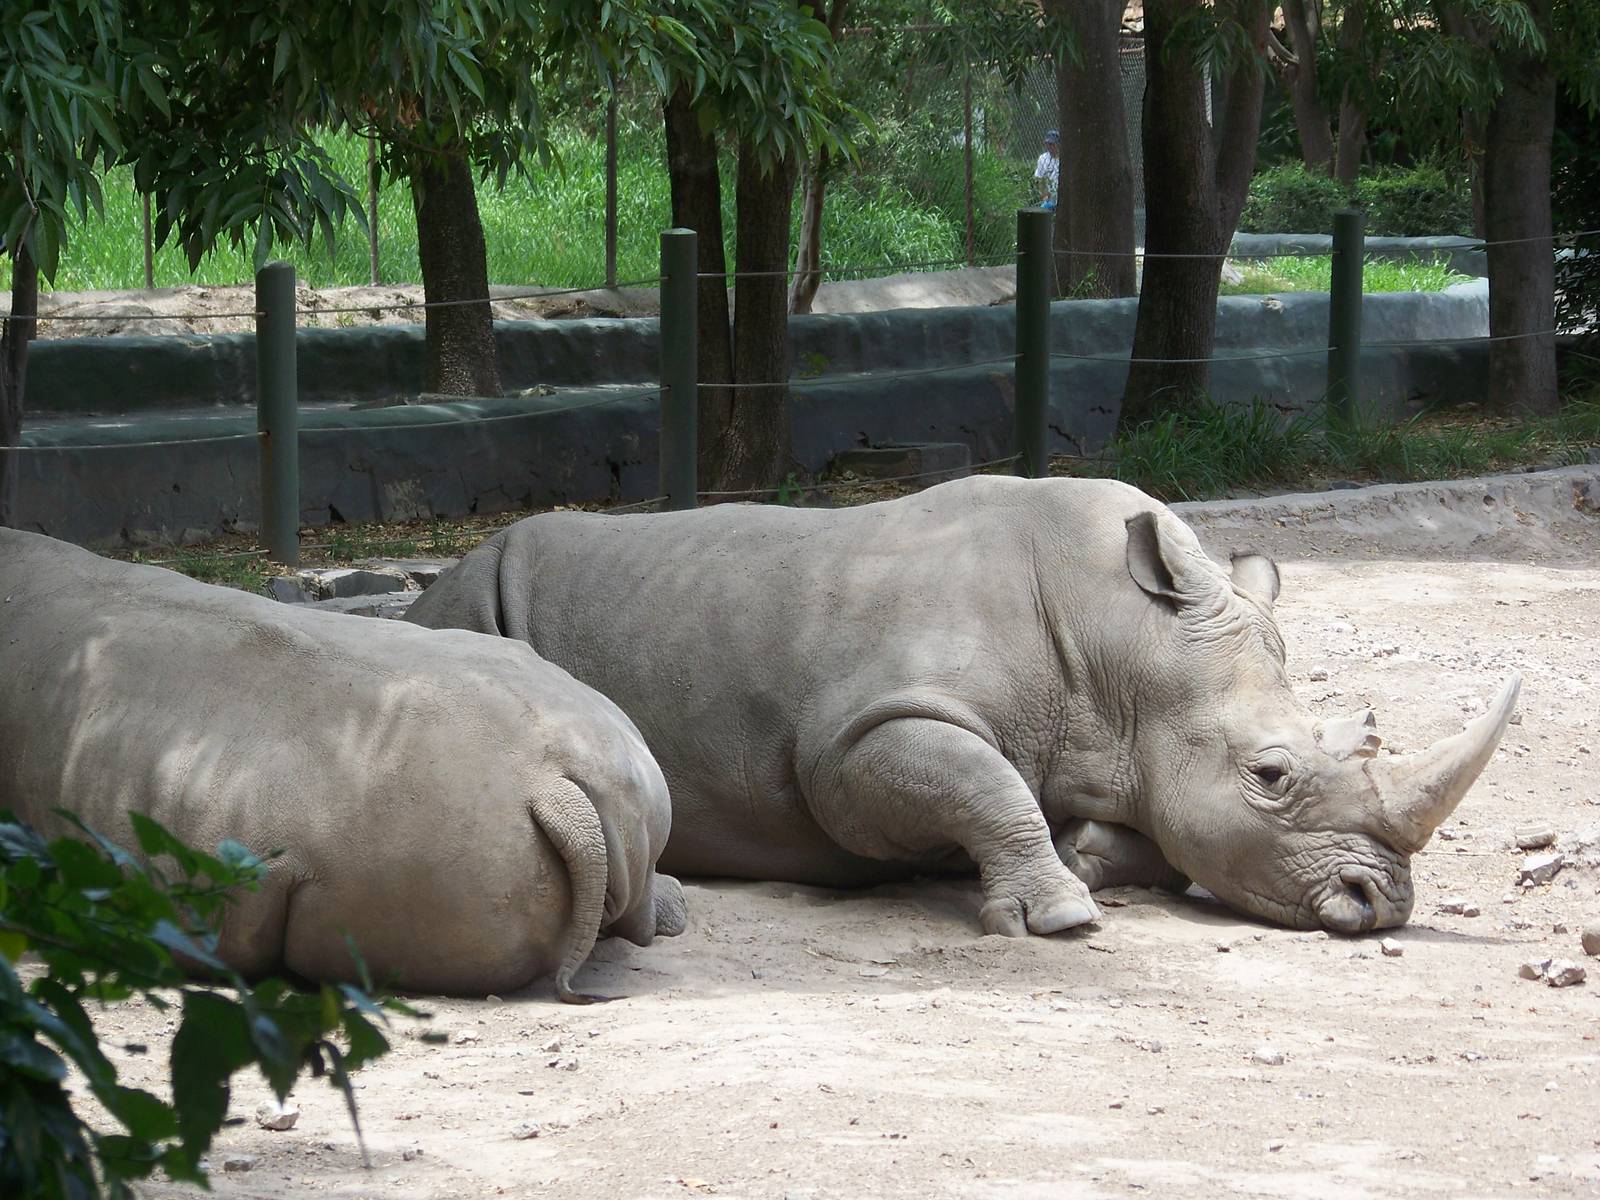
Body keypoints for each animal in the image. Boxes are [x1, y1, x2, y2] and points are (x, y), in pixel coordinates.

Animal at [405, 476, 1519, 937]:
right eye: (1271, 775)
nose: (1381, 905)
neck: (1129, 650)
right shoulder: (859, 736)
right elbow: (979, 781)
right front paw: (1062, 911)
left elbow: (1154, 829)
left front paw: (1091, 855)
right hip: (472, 594)